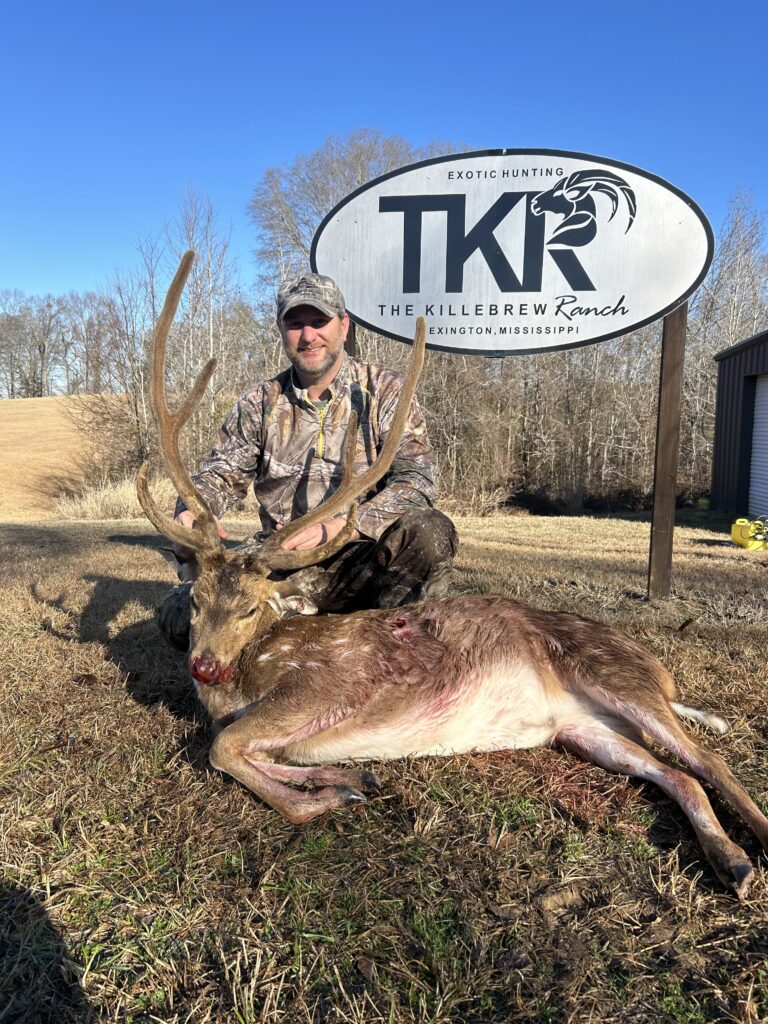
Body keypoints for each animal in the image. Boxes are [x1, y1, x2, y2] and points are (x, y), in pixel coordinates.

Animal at [137, 252, 768, 900]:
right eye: (195, 600)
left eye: (249, 606)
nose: (203, 665)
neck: (242, 678)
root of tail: (663, 674)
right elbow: (242, 749)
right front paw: (346, 779)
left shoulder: (320, 689)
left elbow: (222, 746)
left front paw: (329, 793)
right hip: (585, 728)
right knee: (675, 773)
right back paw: (732, 861)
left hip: (616, 675)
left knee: (710, 761)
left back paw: (754, 849)